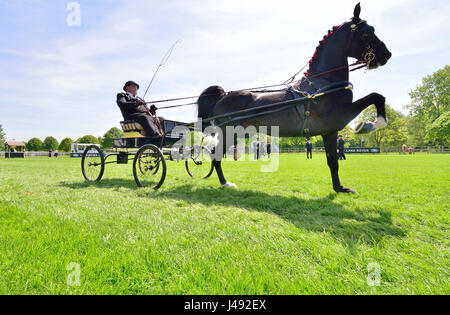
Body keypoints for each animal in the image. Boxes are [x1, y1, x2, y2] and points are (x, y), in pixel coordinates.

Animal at [196, 3, 390, 194]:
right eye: (367, 32)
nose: (386, 54)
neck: (323, 84)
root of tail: (222, 96)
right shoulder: (341, 115)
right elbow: (376, 96)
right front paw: (368, 125)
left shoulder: (330, 131)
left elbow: (333, 161)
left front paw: (339, 188)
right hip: (230, 133)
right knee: (216, 156)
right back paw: (225, 183)